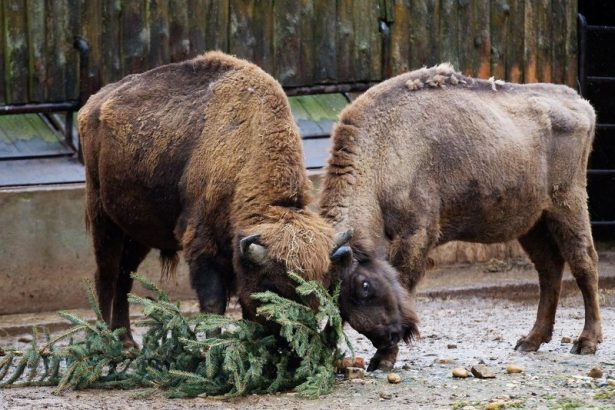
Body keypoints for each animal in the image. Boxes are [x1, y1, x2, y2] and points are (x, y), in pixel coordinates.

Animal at [77, 52, 354, 346]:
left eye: (320, 289)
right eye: (272, 287)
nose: (286, 342)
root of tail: (92, 105)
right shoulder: (203, 245)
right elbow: (213, 304)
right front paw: (211, 345)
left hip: (137, 231)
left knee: (124, 276)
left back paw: (127, 341)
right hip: (103, 218)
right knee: (106, 275)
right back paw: (105, 339)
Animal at [320, 63, 604, 372]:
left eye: (364, 285)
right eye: (337, 300)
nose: (390, 336)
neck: (380, 150)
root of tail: (582, 104)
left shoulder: (416, 233)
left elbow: (404, 281)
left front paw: (383, 360)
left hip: (567, 204)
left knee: (584, 262)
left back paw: (586, 342)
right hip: (533, 223)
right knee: (549, 268)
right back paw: (530, 340)